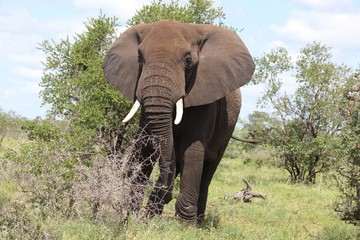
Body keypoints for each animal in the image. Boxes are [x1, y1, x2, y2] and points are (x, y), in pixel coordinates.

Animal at [102, 20, 255, 223]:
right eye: (139, 58)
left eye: (188, 61)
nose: (167, 195)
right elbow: (144, 147)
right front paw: (130, 217)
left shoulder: (206, 98)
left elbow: (193, 150)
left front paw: (185, 225)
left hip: (228, 129)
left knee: (208, 169)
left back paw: (198, 221)